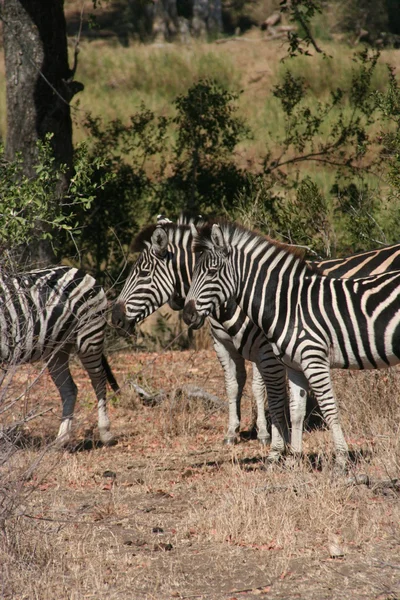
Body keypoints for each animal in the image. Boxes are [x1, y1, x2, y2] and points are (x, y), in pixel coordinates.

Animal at [0, 266, 119, 446]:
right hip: (57, 351)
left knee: (98, 380)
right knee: (70, 388)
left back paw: (105, 433)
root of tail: (80, 271)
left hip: (89, 335)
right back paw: (61, 439)